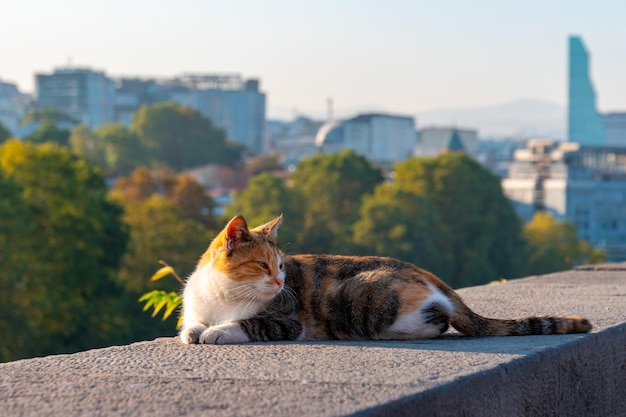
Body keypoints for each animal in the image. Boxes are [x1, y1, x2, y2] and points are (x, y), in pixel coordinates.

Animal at [177, 213, 588, 342]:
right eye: (265, 265)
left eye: (281, 266)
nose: (281, 283)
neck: (223, 295)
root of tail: (426, 273)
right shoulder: (196, 308)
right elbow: (190, 325)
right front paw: (196, 331)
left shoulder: (287, 321)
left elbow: (248, 323)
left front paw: (218, 332)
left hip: (361, 295)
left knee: (436, 320)